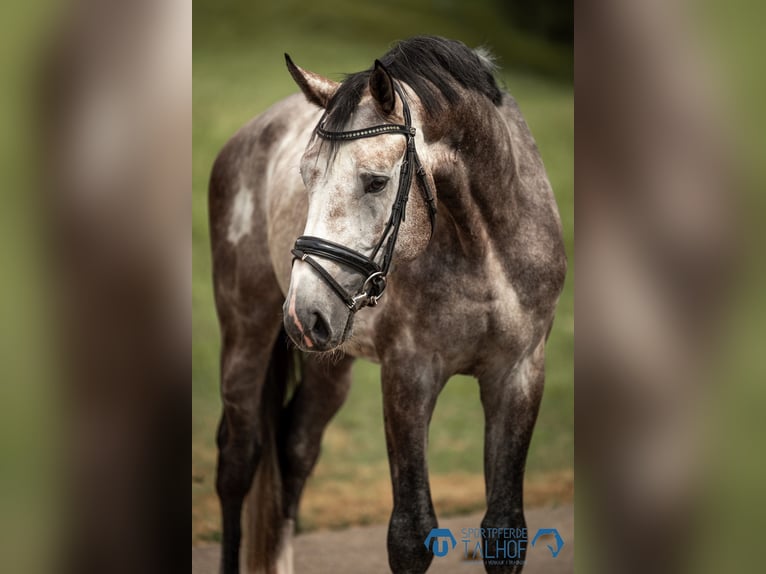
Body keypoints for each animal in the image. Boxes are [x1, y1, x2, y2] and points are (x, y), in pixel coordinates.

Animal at [208, 37, 564, 574]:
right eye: (306, 176)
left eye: (375, 181)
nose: (301, 315)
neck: (484, 246)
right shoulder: (408, 374)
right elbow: (410, 534)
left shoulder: (520, 374)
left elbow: (505, 528)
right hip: (245, 331)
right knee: (237, 462)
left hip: (330, 361)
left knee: (294, 450)